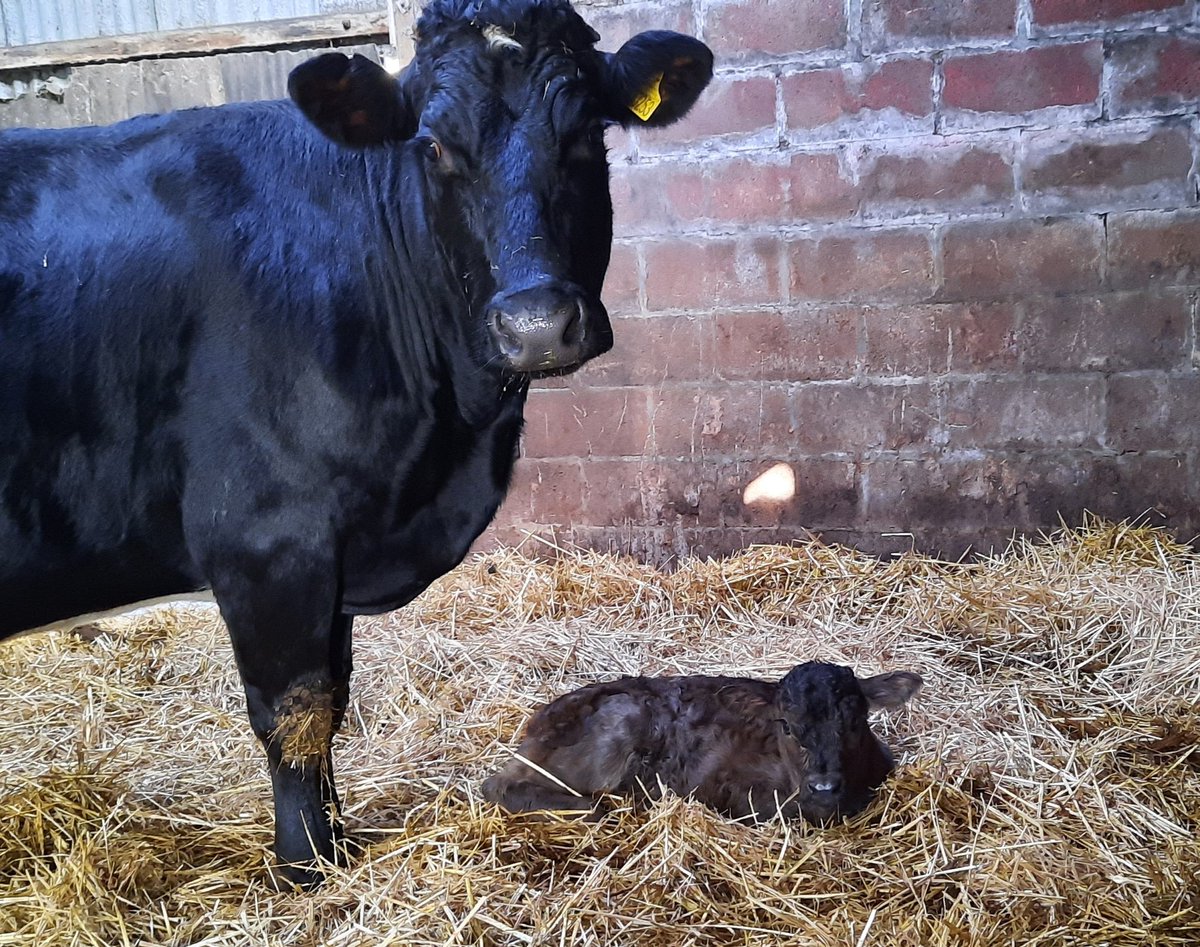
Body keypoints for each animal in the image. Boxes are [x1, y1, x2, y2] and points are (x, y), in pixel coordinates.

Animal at [0, 0, 712, 887]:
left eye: (586, 132)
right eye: (434, 145)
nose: (538, 324)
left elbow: (334, 697)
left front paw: (336, 841)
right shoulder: (266, 540)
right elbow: (295, 712)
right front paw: (307, 864)